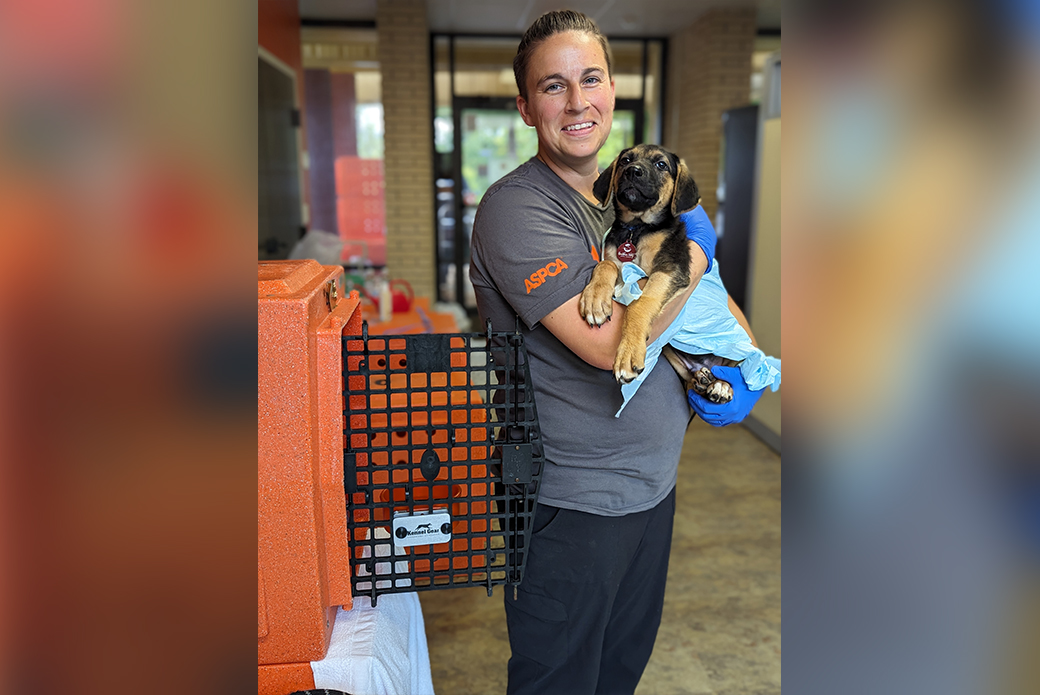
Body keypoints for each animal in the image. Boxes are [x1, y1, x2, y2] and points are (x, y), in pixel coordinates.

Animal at [578, 144, 740, 403]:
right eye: (625, 160)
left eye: (661, 164)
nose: (632, 171)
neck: (637, 228)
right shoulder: (617, 261)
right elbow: (606, 266)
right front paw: (595, 300)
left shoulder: (671, 269)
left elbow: (639, 304)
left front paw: (627, 355)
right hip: (671, 352)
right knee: (690, 382)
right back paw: (702, 380)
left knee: (735, 369)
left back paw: (721, 385)